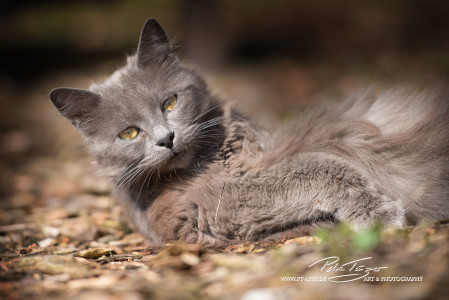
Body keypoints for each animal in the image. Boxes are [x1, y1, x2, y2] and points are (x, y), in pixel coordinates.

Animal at [49, 19, 448, 247]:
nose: (166, 138)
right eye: (130, 134)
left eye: (170, 102)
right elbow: (316, 166)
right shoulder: (215, 203)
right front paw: (380, 213)